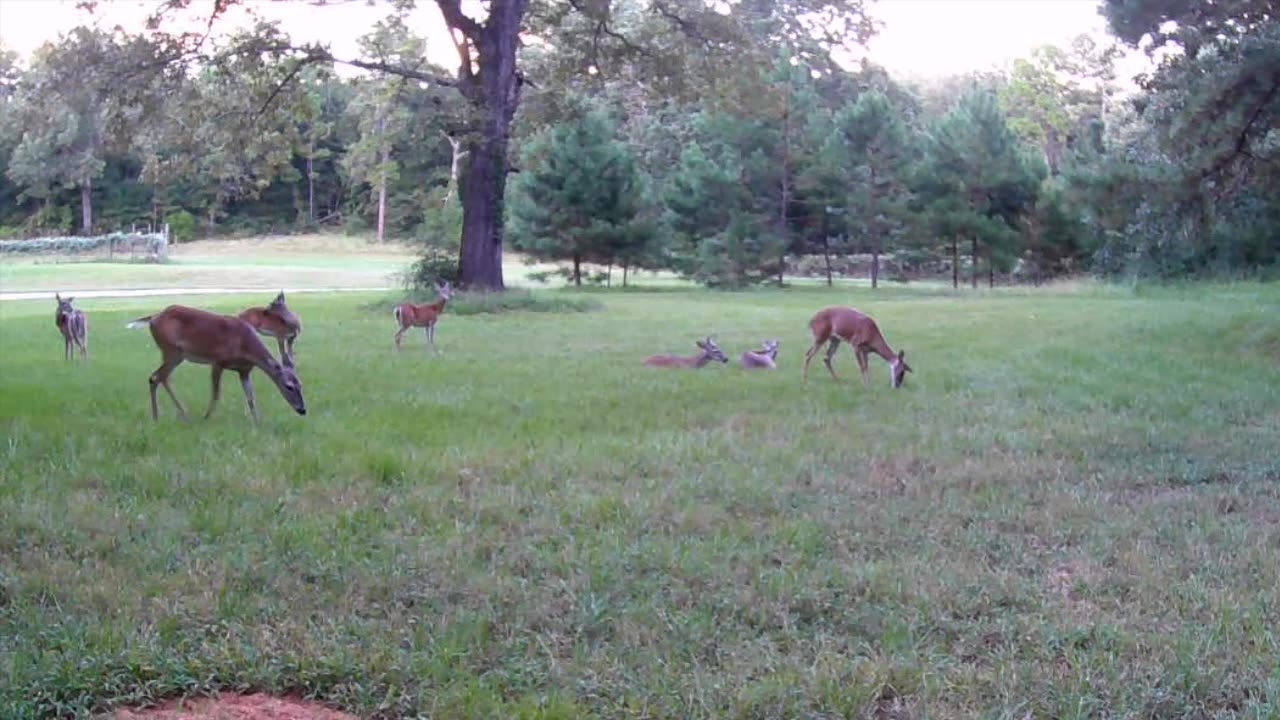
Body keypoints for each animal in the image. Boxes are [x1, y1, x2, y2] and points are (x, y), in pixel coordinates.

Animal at [126, 305, 306, 423]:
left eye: (301, 385)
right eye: (289, 386)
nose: (303, 410)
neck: (245, 346)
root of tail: (153, 318)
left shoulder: (244, 371)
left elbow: (251, 397)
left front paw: (257, 422)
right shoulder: (218, 361)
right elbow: (216, 393)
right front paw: (207, 417)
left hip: (176, 355)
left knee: (156, 377)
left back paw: (158, 416)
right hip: (171, 350)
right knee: (159, 377)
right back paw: (182, 415)